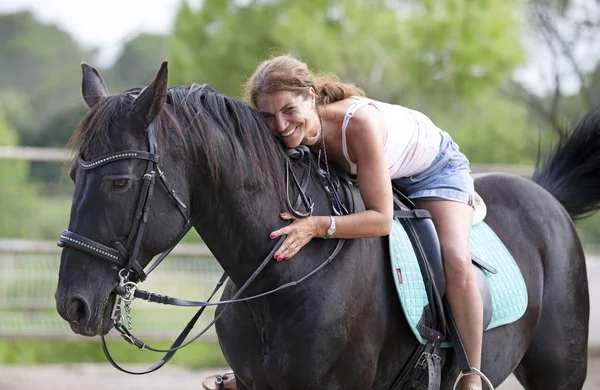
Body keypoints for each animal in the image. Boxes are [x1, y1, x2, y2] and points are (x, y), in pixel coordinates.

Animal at [54, 61, 592, 390]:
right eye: (75, 176)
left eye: (120, 182)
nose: (71, 304)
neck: (280, 282)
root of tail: (546, 195)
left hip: (559, 372)